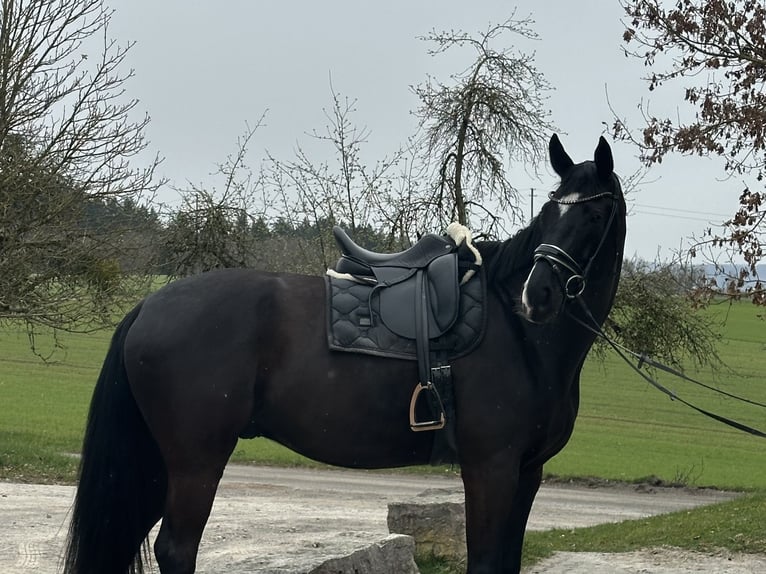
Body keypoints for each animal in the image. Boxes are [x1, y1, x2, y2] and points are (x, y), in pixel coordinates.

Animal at [63, 134, 626, 574]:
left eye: (594, 213)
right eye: (551, 209)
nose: (538, 296)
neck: (518, 334)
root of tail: (148, 305)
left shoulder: (527, 473)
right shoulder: (492, 469)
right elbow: (485, 562)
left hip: (157, 462)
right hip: (195, 460)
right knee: (176, 549)